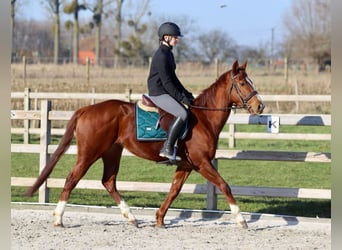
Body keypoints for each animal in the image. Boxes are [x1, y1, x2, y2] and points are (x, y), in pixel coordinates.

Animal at [26, 60, 264, 229]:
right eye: (243, 83)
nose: (260, 106)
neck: (204, 119)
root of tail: (87, 109)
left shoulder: (186, 165)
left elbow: (174, 190)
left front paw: (159, 219)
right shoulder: (202, 163)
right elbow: (224, 185)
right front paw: (241, 220)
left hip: (112, 152)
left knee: (109, 182)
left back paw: (131, 218)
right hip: (89, 153)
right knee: (72, 179)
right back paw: (58, 218)